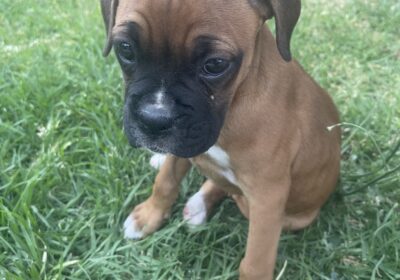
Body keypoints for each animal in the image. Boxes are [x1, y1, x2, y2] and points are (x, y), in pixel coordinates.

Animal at [100, 0, 340, 278]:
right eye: (125, 48)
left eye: (215, 64)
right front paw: (149, 216)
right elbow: (165, 182)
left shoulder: (267, 197)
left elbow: (256, 260)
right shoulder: (184, 144)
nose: (153, 120)